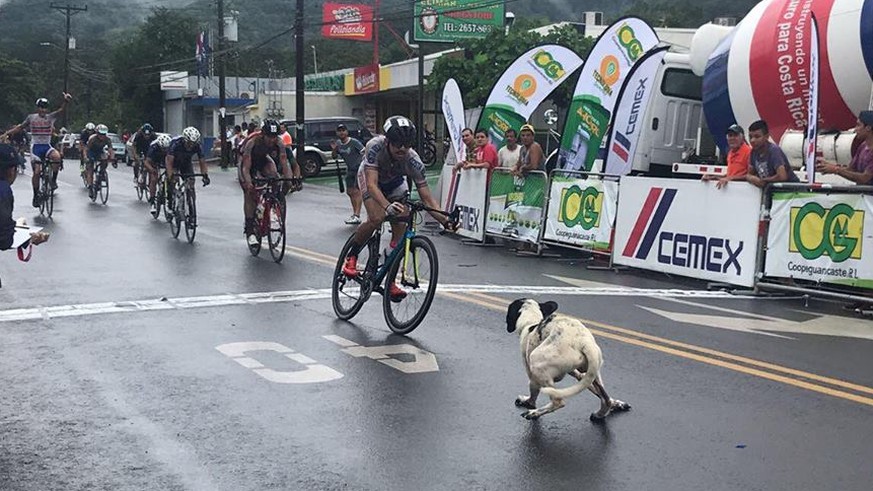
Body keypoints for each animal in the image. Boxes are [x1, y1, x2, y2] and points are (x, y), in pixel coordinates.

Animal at [504, 300, 632, 422]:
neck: (531, 323)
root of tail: (583, 342)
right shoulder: (579, 374)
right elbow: (595, 391)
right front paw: (616, 404)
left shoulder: (532, 376)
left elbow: (532, 395)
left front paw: (527, 402)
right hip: (593, 371)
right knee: (605, 398)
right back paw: (601, 413)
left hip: (536, 363)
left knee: (558, 401)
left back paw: (534, 413)